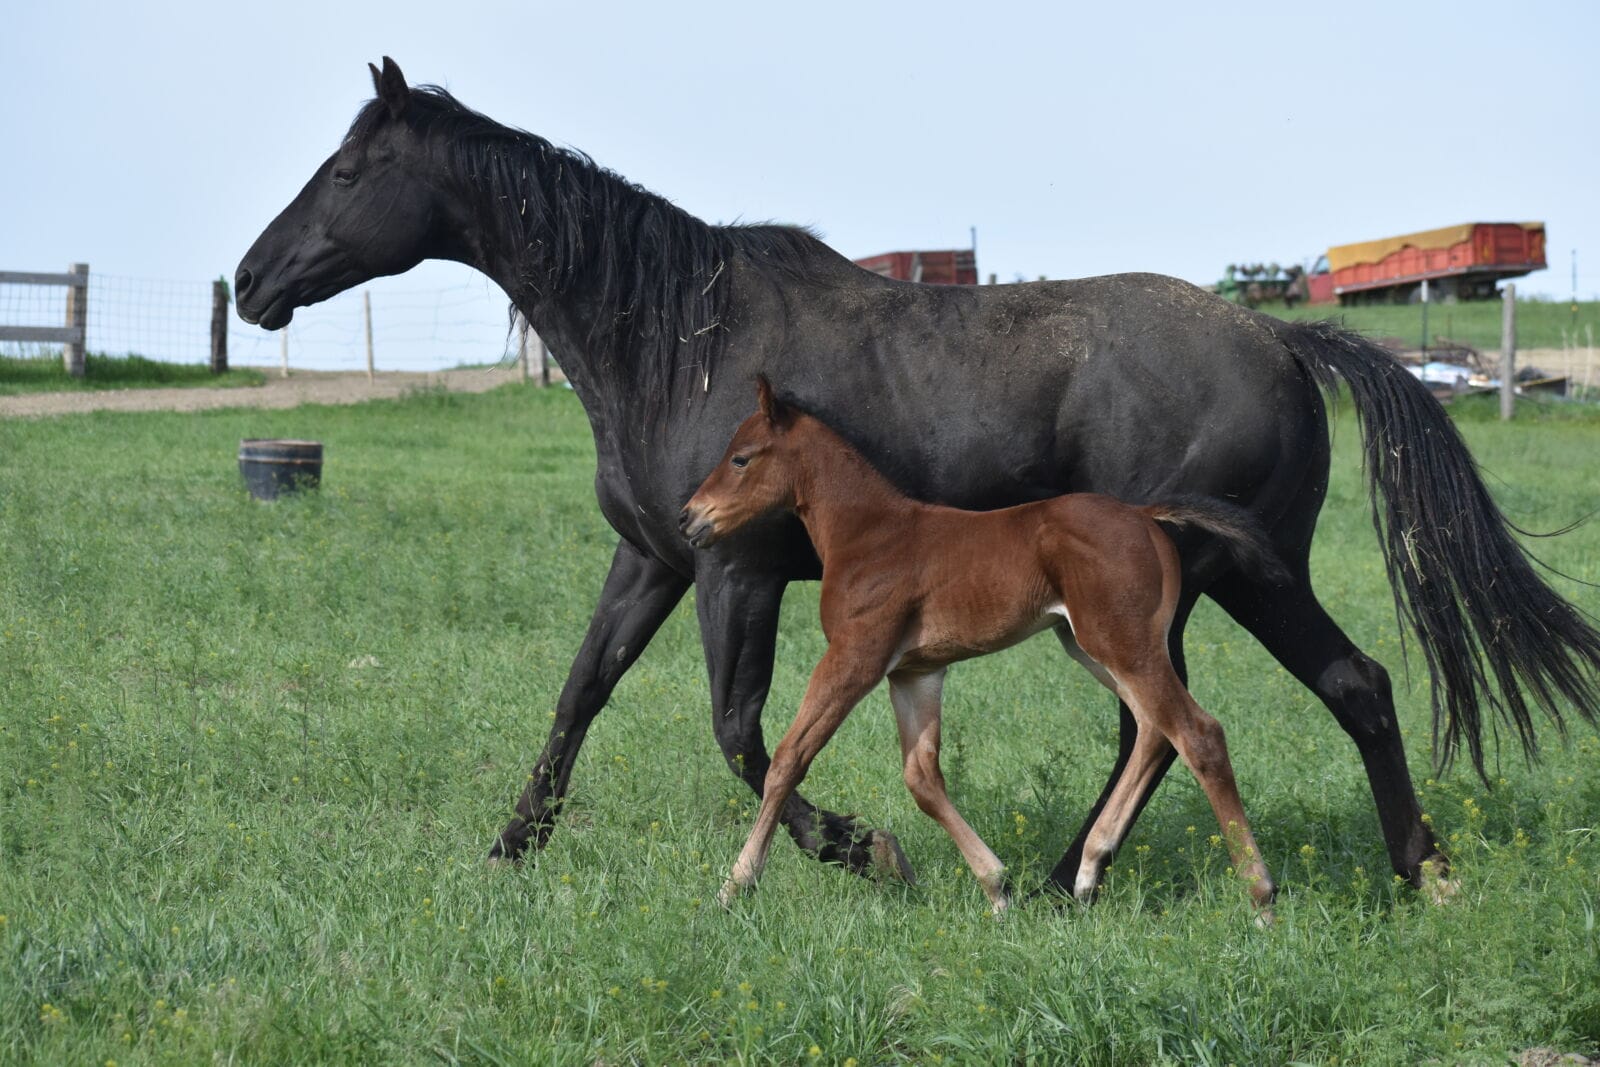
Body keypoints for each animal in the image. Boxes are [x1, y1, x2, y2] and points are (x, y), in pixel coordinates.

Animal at [684, 379, 1284, 915]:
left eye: (740, 459)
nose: (691, 518)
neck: (869, 533)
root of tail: (1143, 516)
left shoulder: (856, 656)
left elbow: (789, 758)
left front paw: (734, 887)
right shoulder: (913, 673)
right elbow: (922, 778)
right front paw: (998, 889)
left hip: (1123, 644)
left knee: (1197, 732)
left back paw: (1260, 896)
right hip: (1091, 646)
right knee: (1153, 730)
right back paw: (1089, 870)